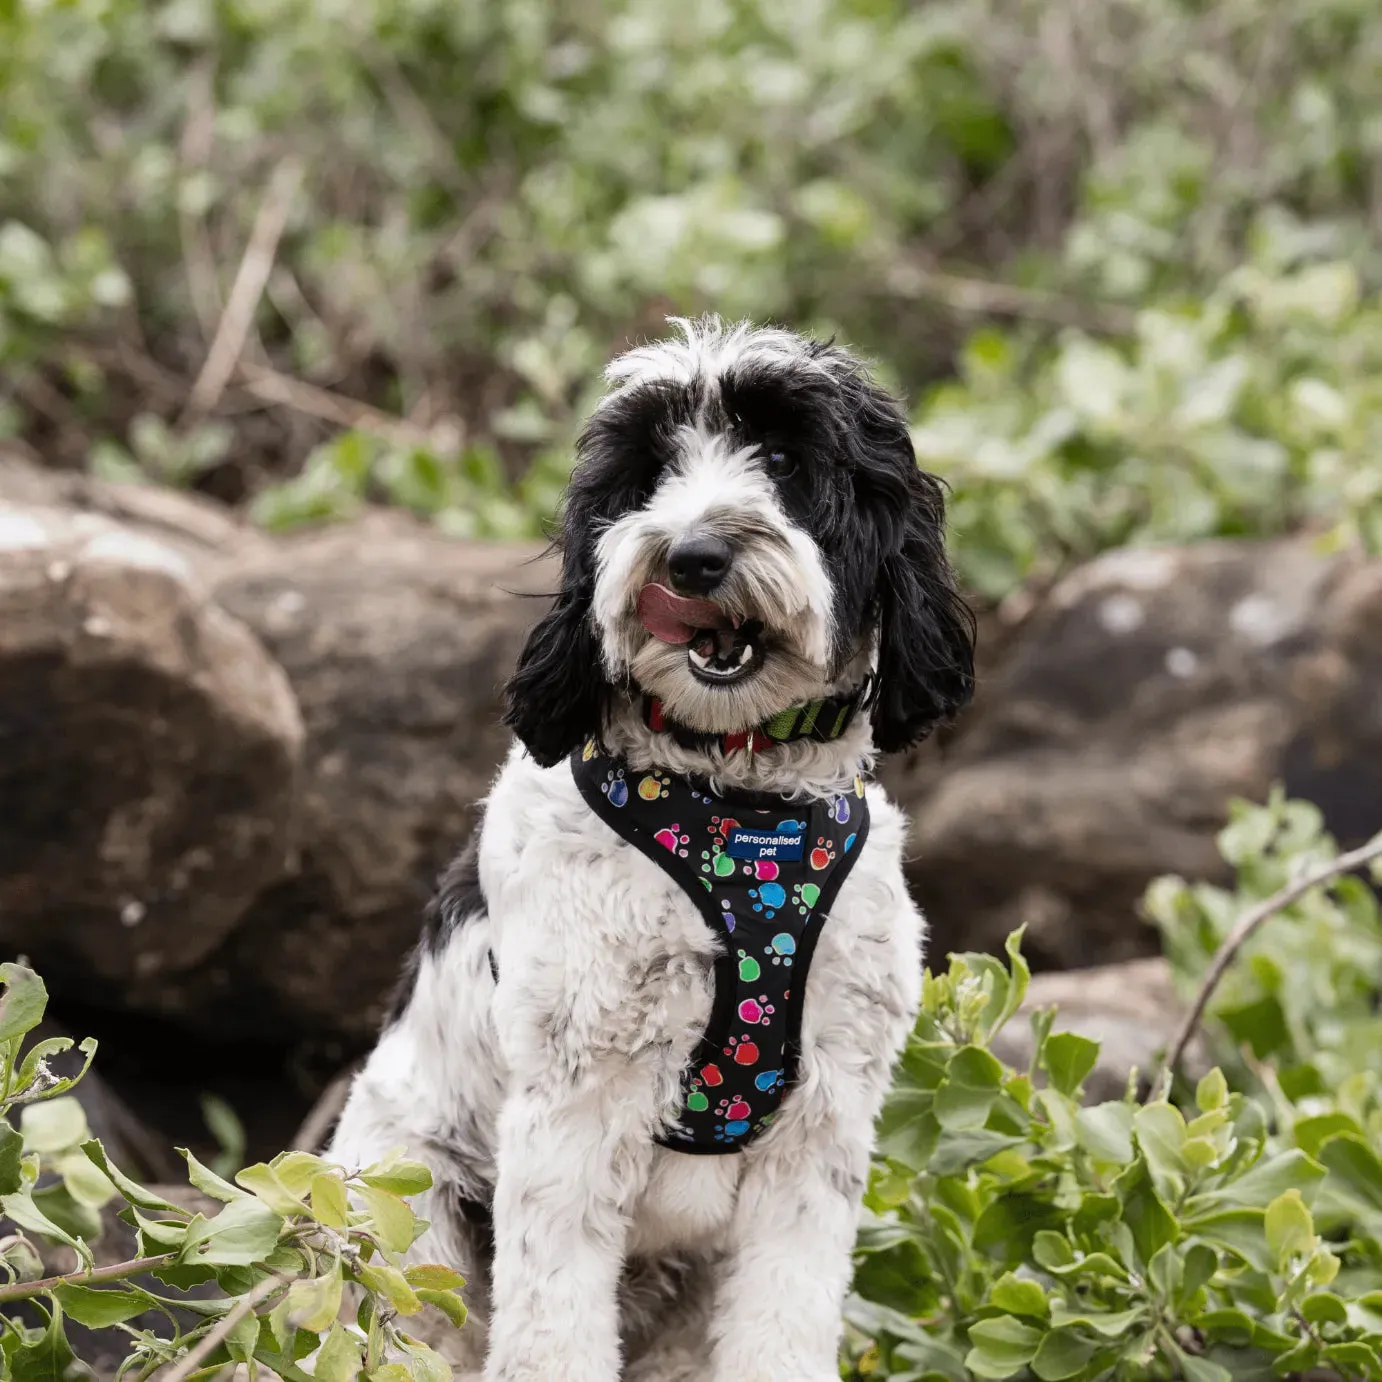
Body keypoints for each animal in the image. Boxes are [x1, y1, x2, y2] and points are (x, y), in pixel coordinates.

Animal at [328, 317, 978, 1376]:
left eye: (785, 459)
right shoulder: (577, 1099)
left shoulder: (824, 1118)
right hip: (407, 1209)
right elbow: (552, 1325)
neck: (738, 796)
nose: (691, 556)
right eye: (647, 475)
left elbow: (785, 1319)